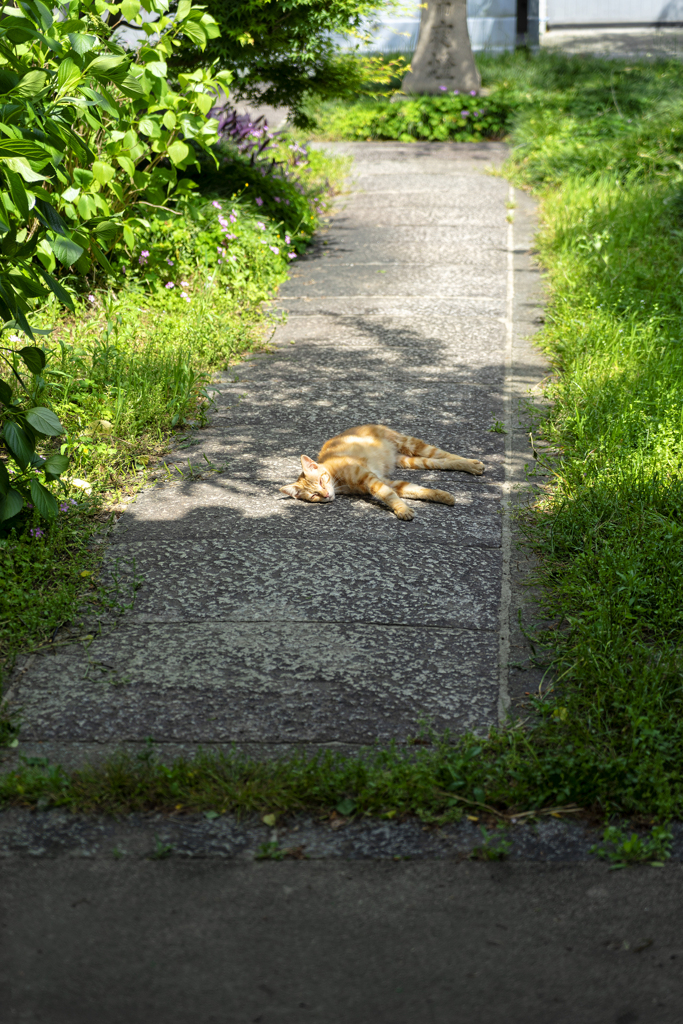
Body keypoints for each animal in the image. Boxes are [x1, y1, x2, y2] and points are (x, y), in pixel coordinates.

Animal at [278, 421, 485, 520]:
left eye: (322, 481)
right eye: (314, 496)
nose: (327, 495)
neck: (339, 481)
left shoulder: (371, 480)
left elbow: (388, 495)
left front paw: (402, 510)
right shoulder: (388, 481)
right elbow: (418, 490)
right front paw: (442, 495)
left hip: (411, 444)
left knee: (446, 454)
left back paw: (471, 463)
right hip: (411, 460)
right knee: (439, 462)